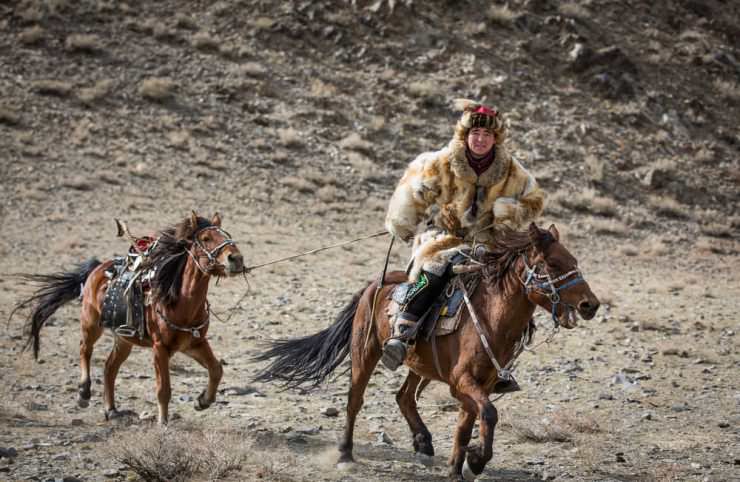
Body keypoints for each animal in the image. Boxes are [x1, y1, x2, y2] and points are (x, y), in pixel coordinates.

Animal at [13, 213, 246, 424]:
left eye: (227, 235)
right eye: (206, 238)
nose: (236, 258)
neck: (180, 302)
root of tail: (97, 268)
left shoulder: (194, 343)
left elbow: (216, 369)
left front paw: (202, 401)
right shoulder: (160, 348)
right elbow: (164, 389)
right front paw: (163, 423)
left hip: (124, 339)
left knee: (109, 367)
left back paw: (111, 410)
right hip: (90, 322)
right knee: (85, 349)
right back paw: (84, 393)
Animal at [251, 224, 600, 480]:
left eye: (574, 262)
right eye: (553, 264)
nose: (590, 305)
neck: (491, 317)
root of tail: (375, 284)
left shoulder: (480, 385)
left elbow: (466, 424)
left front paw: (459, 467)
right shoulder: (462, 382)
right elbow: (488, 413)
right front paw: (476, 460)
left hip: (421, 366)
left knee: (404, 396)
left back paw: (423, 443)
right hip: (365, 354)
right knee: (355, 400)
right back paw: (345, 454)